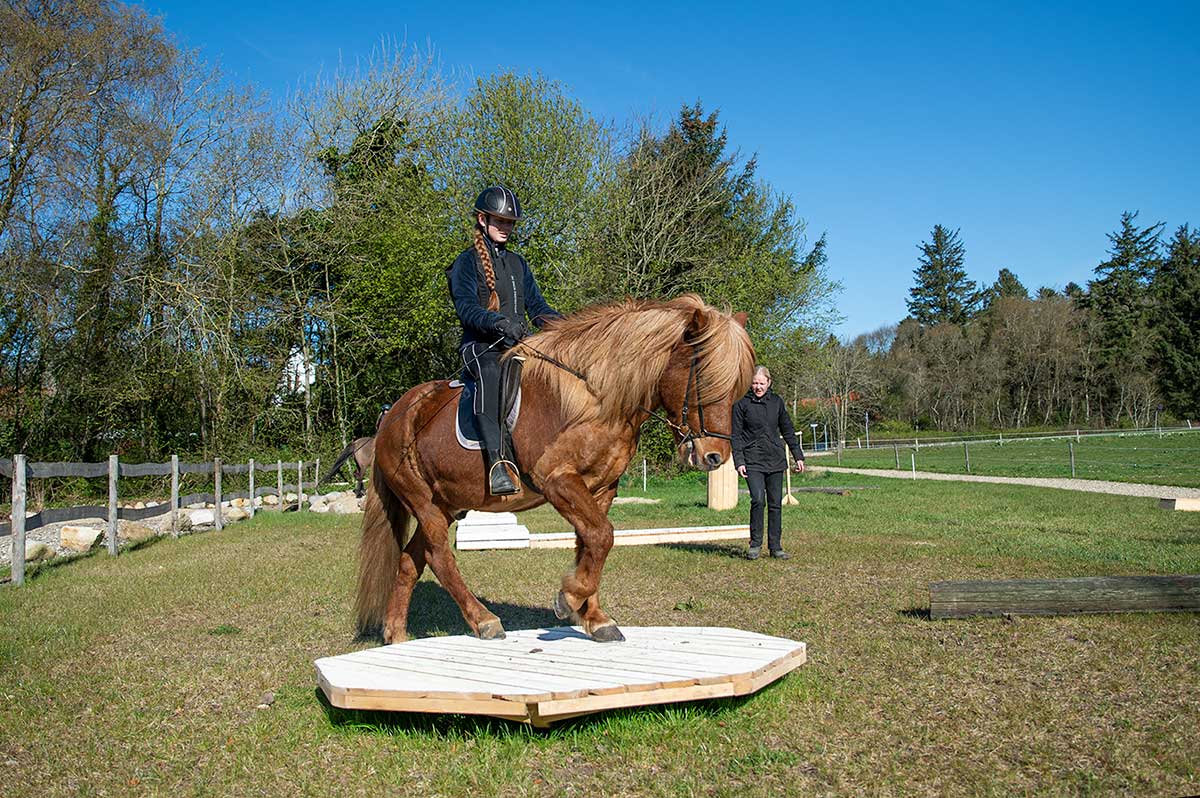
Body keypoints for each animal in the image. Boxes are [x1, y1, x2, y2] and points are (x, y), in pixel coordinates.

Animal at [350, 295, 753, 643]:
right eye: (704, 379)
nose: (715, 457)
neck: (595, 397)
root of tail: (393, 415)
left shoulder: (600, 489)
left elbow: (591, 543)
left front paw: (594, 618)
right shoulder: (558, 480)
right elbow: (601, 536)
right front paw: (569, 599)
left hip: (445, 504)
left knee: (409, 561)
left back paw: (396, 635)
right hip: (423, 502)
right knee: (438, 556)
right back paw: (484, 620)